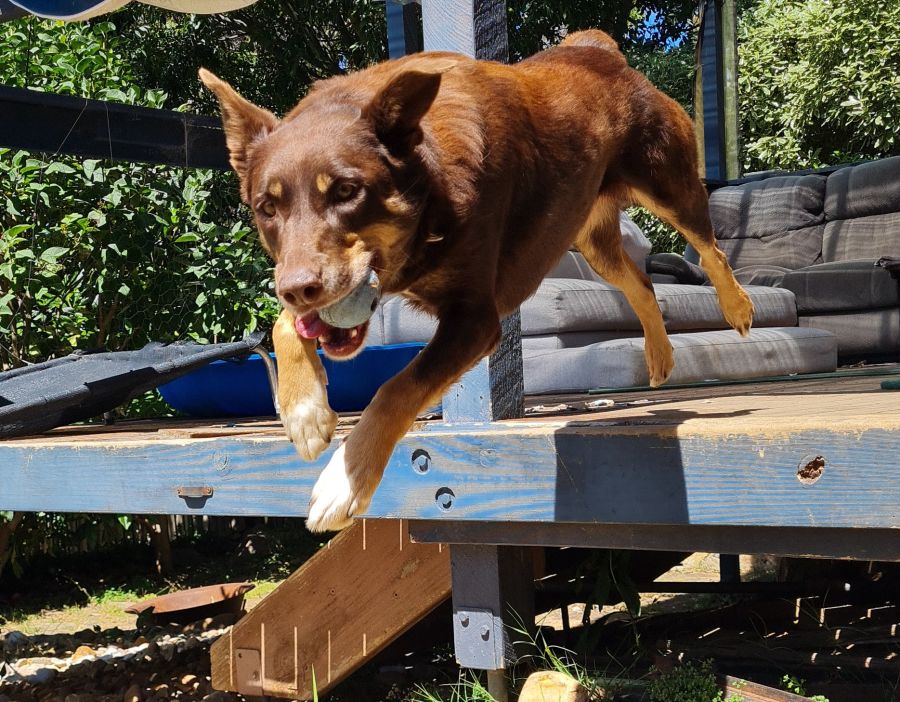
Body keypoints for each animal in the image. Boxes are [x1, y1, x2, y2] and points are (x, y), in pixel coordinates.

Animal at [200, 29, 754, 533]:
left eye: (346, 191)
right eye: (266, 207)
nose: (298, 288)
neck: (429, 197)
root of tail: (597, 50)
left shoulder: (476, 319)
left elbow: (397, 388)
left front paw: (344, 482)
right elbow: (283, 324)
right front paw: (304, 412)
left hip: (669, 186)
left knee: (711, 251)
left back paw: (738, 308)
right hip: (591, 239)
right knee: (641, 282)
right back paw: (659, 354)